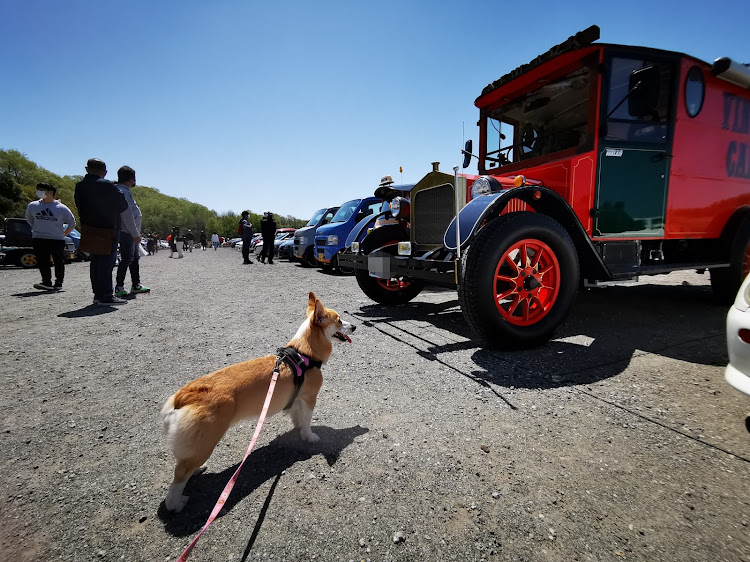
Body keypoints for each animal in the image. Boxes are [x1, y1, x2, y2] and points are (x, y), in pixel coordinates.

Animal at [160, 290, 354, 510]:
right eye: (339, 320)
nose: (355, 326)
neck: (304, 353)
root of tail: (184, 395)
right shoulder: (309, 399)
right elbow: (306, 422)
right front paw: (309, 437)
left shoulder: (297, 400)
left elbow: (297, 416)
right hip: (206, 441)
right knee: (179, 475)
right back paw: (176, 503)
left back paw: (196, 471)